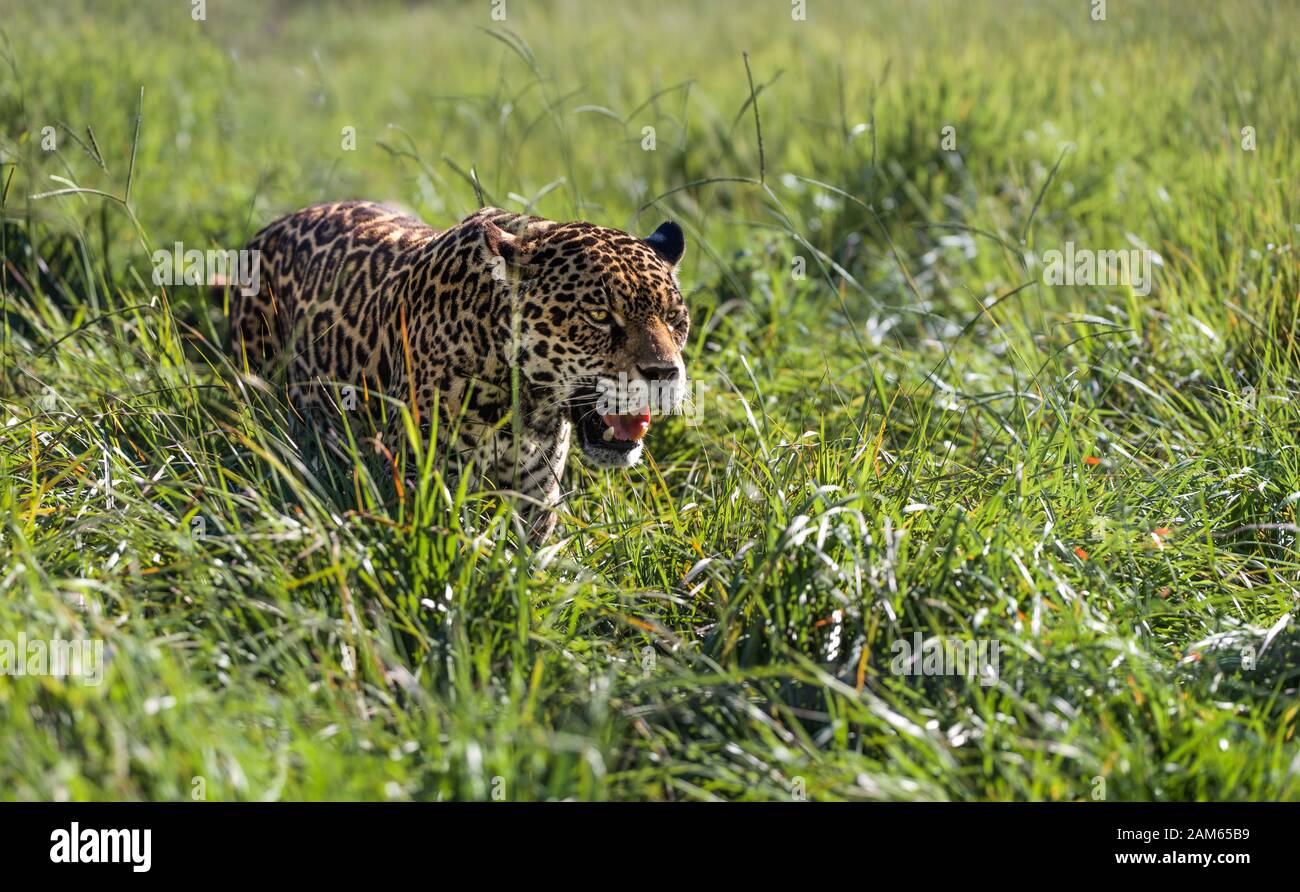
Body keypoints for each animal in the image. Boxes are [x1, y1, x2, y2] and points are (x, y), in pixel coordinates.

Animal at [227, 200, 690, 540]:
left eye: (673, 319)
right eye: (598, 315)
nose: (665, 373)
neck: (522, 402)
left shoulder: (535, 495)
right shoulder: (421, 481)